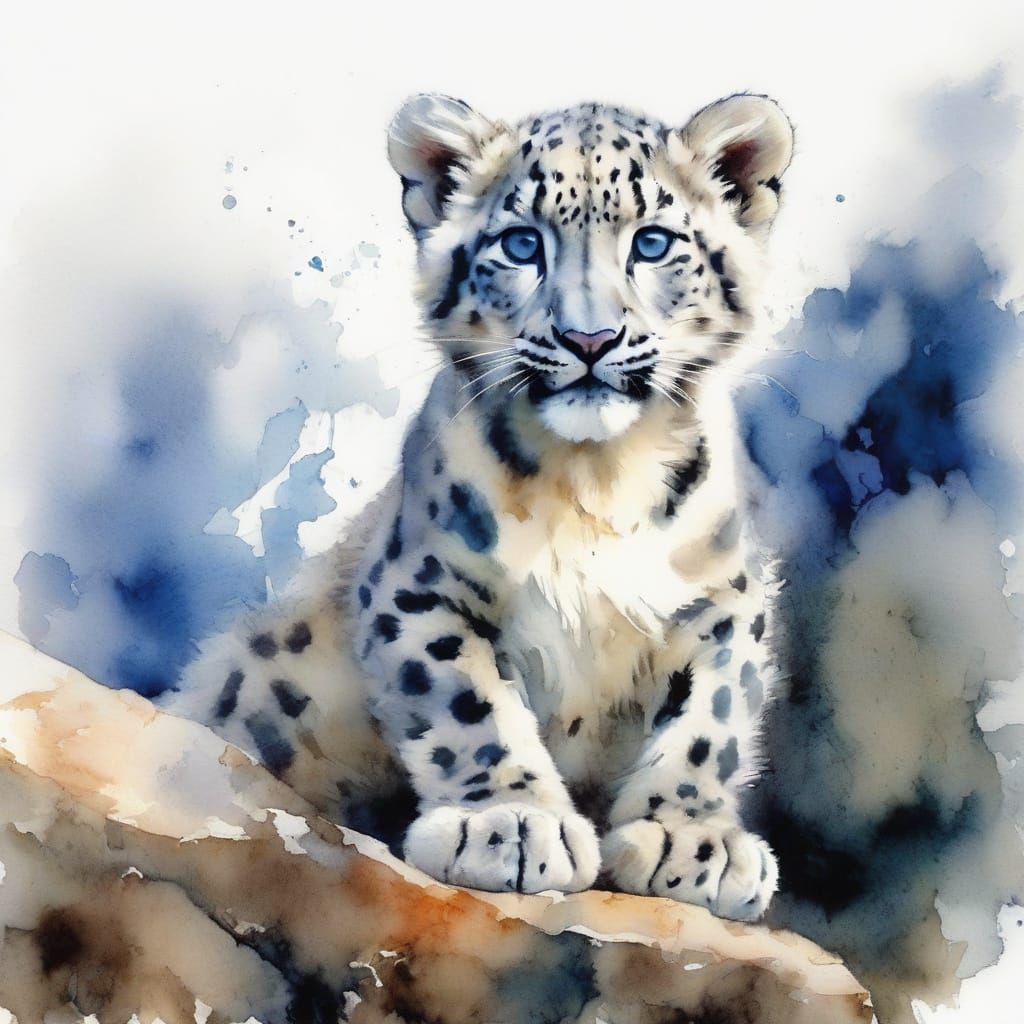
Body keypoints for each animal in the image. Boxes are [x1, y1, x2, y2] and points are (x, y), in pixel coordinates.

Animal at [163, 91, 794, 921]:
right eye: (522, 244)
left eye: (653, 243)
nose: (589, 338)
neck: (594, 481)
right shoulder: (423, 586)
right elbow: (469, 704)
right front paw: (513, 822)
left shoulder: (723, 599)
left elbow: (710, 716)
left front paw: (693, 839)